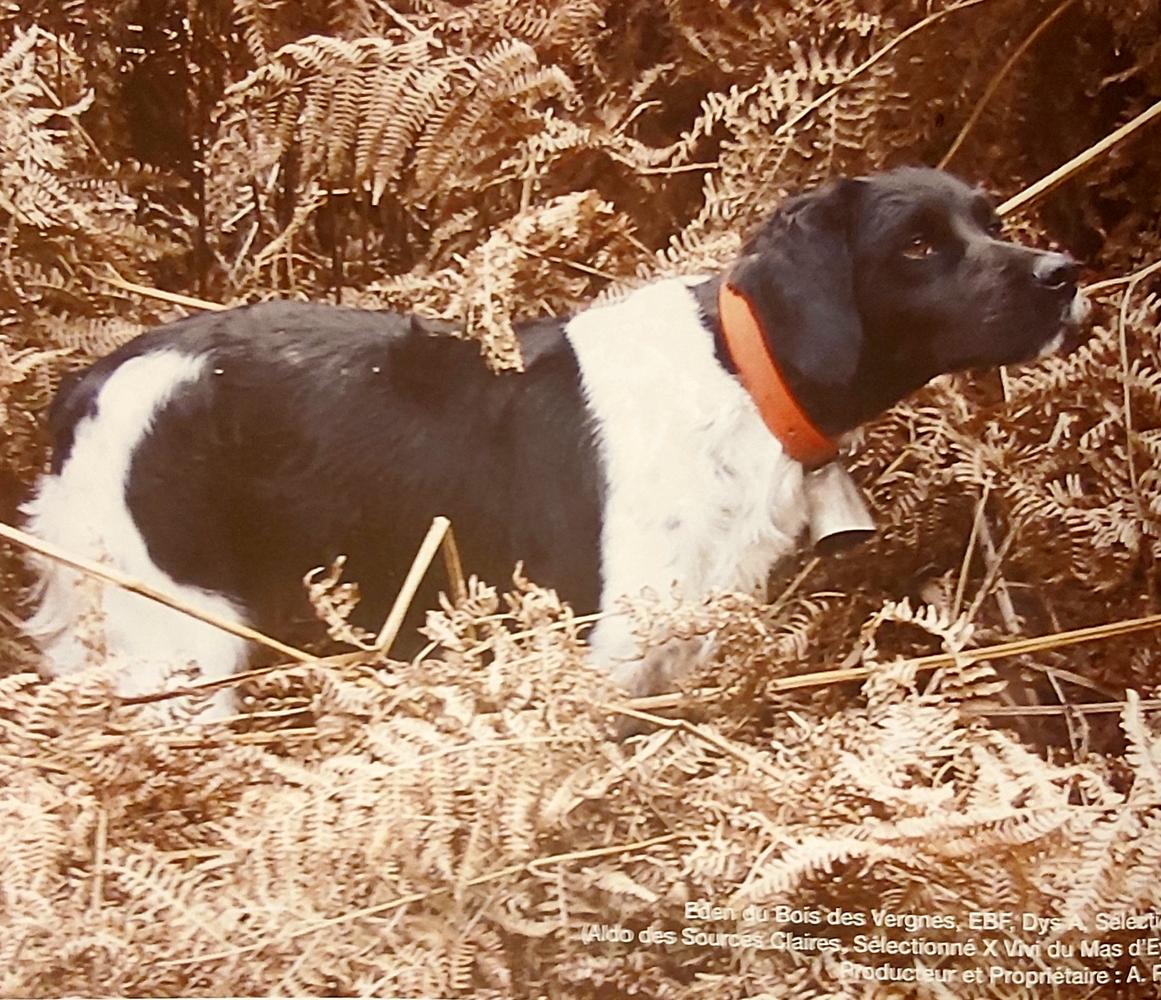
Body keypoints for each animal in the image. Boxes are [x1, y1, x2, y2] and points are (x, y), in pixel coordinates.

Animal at [20, 169, 1086, 720]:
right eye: (916, 245)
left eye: (986, 220)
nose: (1064, 273)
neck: (739, 378)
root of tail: (90, 386)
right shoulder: (603, 664)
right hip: (180, 645)